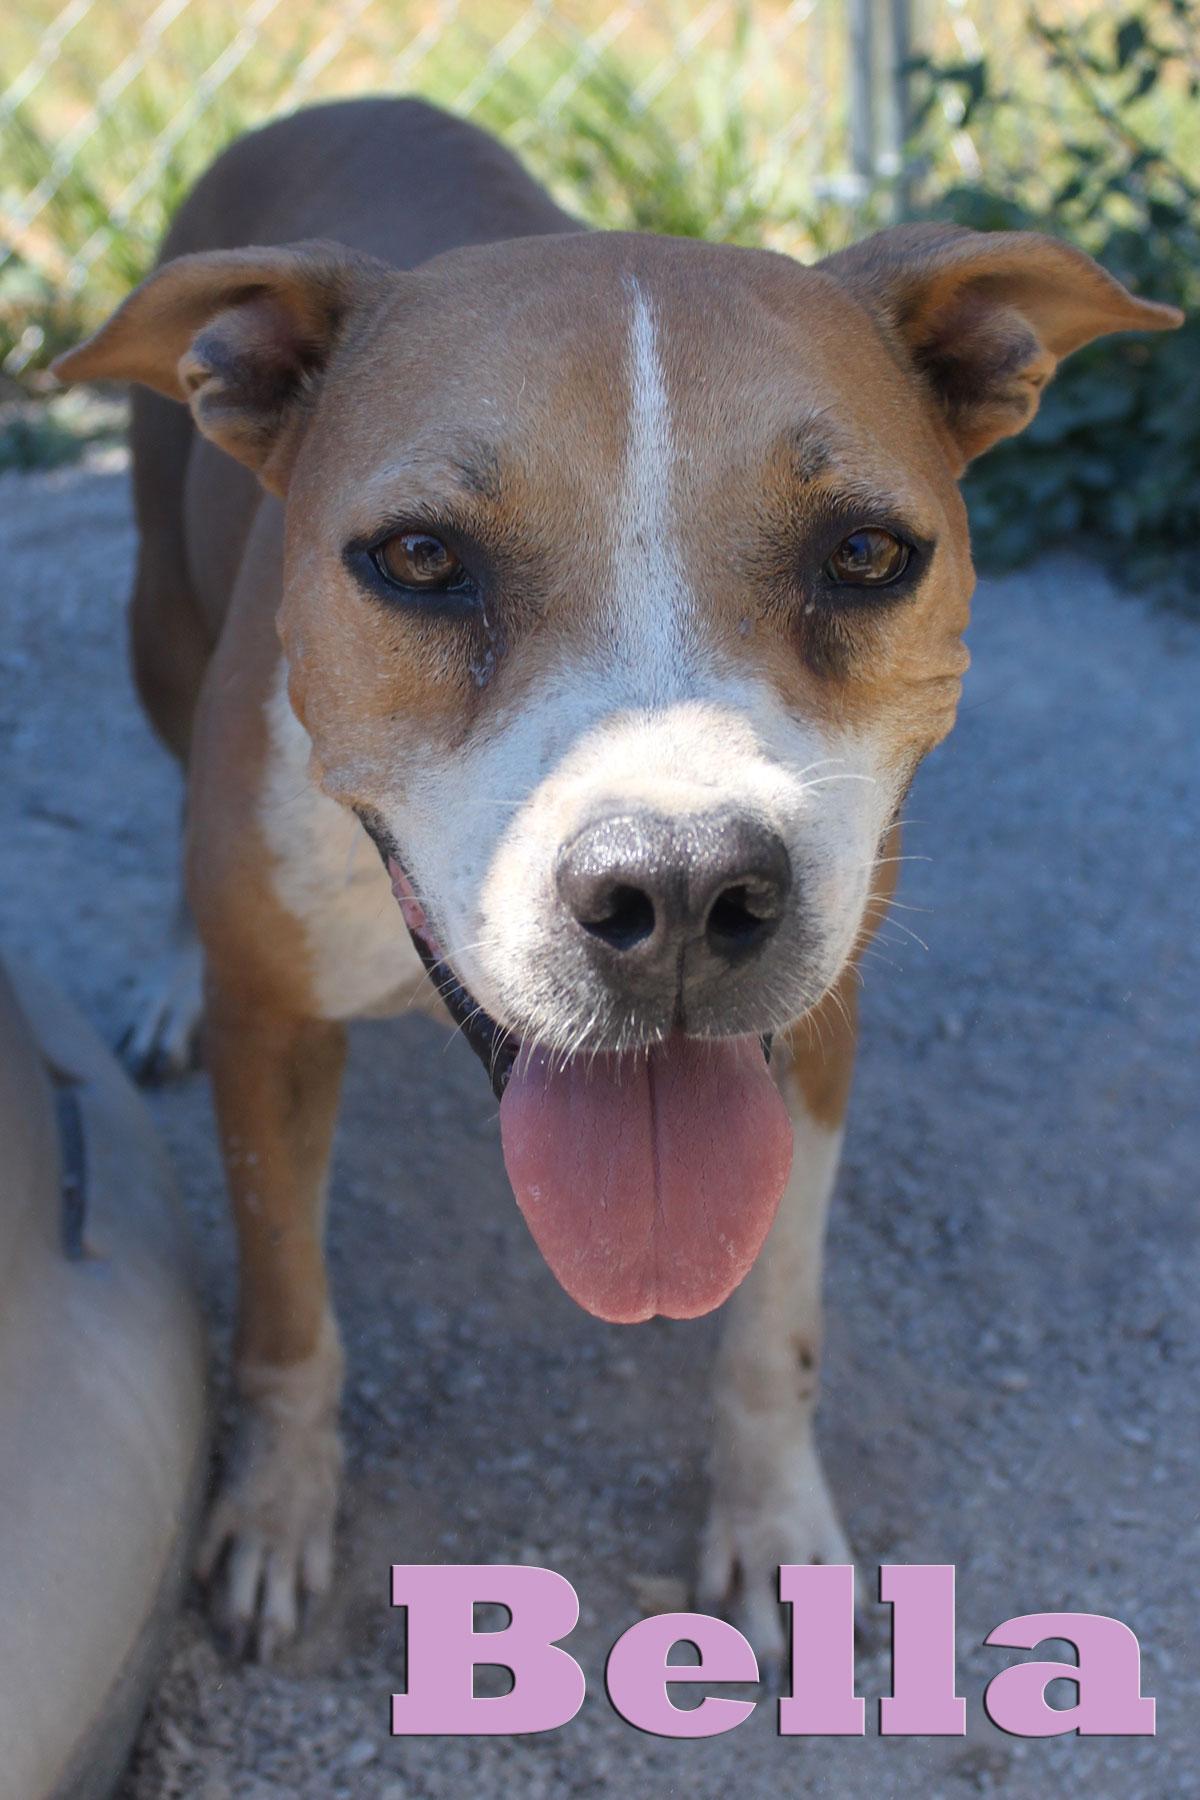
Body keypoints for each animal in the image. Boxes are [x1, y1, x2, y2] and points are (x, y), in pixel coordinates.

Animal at [51, 94, 1180, 1656]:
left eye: (866, 553)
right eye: (419, 558)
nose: (689, 894)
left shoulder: (819, 1032)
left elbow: (777, 1326)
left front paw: (772, 1528)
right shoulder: (268, 1035)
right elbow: (286, 1312)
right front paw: (275, 1509)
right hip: (156, 621)